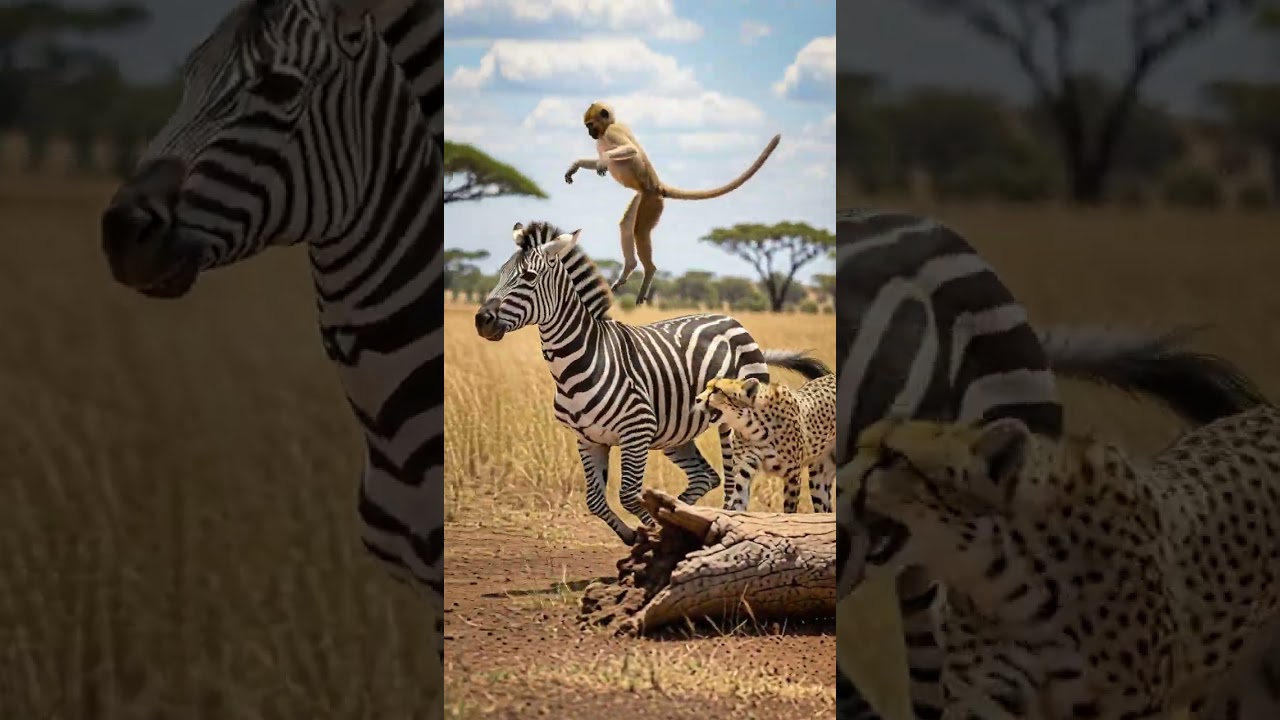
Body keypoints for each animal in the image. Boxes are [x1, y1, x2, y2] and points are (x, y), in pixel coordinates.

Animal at [564, 101, 781, 305]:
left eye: (590, 125)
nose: (591, 133)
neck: (611, 124)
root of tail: (659, 186)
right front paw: (575, 166)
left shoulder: (613, 133)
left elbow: (629, 150)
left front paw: (604, 160)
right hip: (642, 197)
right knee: (626, 225)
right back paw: (629, 269)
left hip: (651, 201)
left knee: (640, 231)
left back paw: (649, 272)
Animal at [694, 373, 836, 513]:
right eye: (707, 387)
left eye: (717, 390)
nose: (697, 399)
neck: (753, 426)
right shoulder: (744, 469)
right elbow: (738, 501)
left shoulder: (792, 476)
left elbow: (789, 509)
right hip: (818, 481)